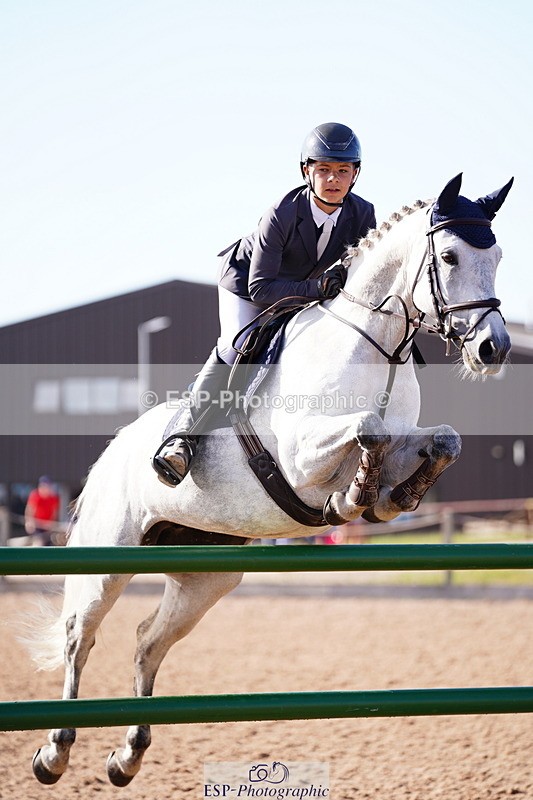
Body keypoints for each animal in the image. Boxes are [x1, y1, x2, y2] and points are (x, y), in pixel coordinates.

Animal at [25, 173, 513, 786]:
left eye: (497, 256)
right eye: (449, 256)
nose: (494, 347)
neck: (374, 344)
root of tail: (114, 448)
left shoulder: (409, 439)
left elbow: (442, 441)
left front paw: (390, 496)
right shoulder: (303, 457)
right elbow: (368, 428)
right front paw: (353, 496)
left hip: (209, 575)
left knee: (147, 643)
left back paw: (126, 756)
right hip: (108, 555)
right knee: (79, 636)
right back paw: (54, 752)